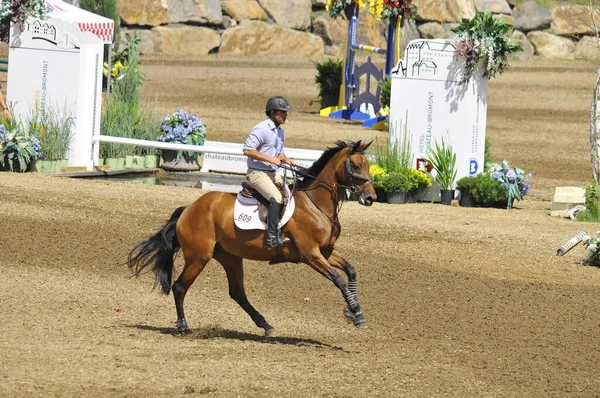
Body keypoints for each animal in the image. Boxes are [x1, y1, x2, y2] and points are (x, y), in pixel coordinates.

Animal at [127, 140, 376, 336]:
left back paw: (266, 325)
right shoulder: (310, 255)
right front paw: (355, 312)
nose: (371, 198)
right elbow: (338, 279)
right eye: (355, 166)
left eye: (368, 165)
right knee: (179, 287)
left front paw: (354, 310)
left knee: (237, 293)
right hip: (199, 256)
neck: (316, 204)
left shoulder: (326, 251)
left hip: (230, 257)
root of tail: (188, 209)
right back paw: (183, 326)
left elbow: (351, 271)